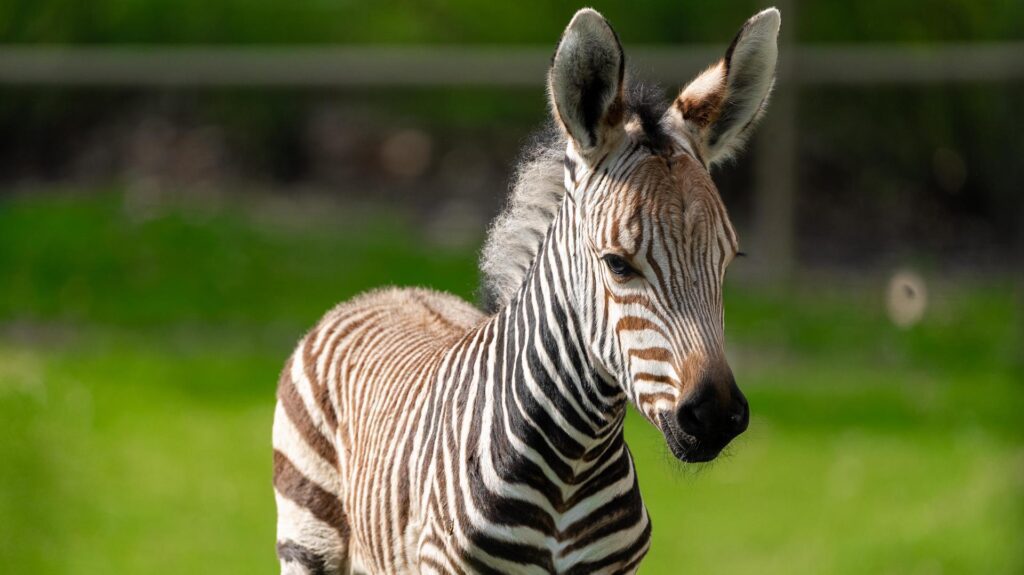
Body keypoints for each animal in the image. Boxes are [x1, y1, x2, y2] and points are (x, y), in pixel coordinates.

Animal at [276, 6, 778, 568]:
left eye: (728, 263)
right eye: (617, 265)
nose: (715, 417)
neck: (574, 462)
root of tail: (387, 292)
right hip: (306, 537)